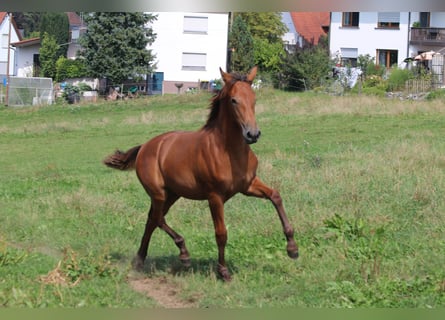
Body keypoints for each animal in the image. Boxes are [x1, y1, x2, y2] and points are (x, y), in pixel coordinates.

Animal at [104, 67, 298, 280]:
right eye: (234, 100)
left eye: (254, 99)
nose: (252, 134)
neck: (228, 151)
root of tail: (145, 147)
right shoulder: (215, 197)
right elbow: (221, 233)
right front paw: (223, 271)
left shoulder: (248, 185)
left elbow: (275, 196)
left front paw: (292, 248)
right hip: (158, 193)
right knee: (157, 218)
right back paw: (183, 254)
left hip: (173, 194)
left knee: (152, 219)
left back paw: (140, 260)